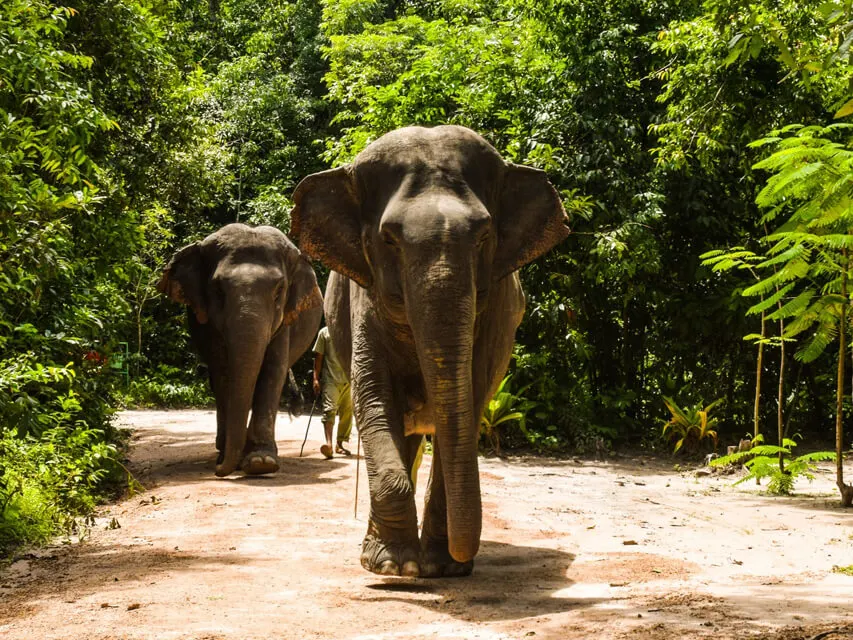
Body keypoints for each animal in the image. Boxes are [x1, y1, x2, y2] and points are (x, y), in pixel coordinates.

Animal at [157, 223, 323, 477]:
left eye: (279, 291)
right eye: (218, 290)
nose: (218, 471)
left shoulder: (285, 320)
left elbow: (273, 371)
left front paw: (261, 463)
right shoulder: (209, 325)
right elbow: (223, 371)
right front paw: (231, 458)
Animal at [291, 125, 569, 577]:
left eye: (485, 236)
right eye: (389, 239)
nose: (463, 556)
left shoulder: (494, 315)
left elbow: (471, 401)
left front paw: (443, 567)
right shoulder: (365, 299)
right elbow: (373, 395)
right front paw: (396, 569)